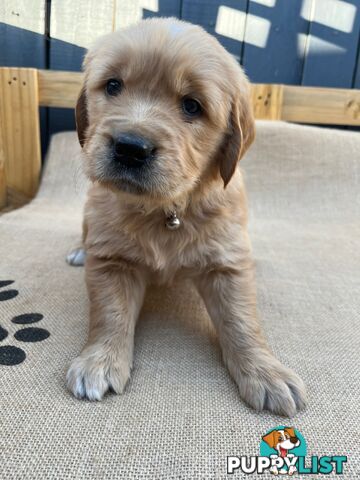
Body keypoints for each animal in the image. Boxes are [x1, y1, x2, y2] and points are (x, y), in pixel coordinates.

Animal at [65, 17, 306, 416]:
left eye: (192, 106)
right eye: (113, 85)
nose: (130, 147)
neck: (168, 209)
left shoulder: (227, 264)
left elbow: (242, 321)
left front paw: (266, 372)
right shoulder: (112, 260)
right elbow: (110, 313)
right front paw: (99, 361)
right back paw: (80, 251)